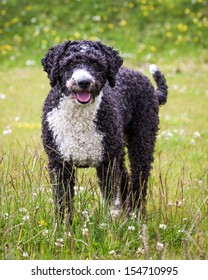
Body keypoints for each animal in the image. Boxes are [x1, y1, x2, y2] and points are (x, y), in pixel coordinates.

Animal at [41, 40, 168, 223]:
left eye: (96, 63)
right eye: (69, 63)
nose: (84, 82)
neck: (79, 118)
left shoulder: (107, 163)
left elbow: (110, 201)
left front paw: (108, 226)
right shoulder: (59, 163)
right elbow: (63, 201)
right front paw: (63, 227)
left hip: (141, 142)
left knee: (139, 181)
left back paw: (135, 217)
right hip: (118, 151)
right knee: (125, 179)